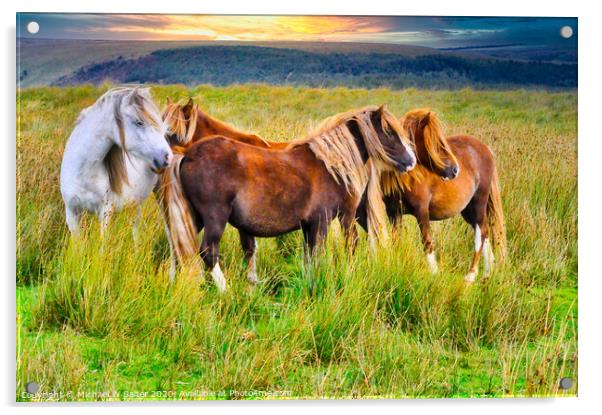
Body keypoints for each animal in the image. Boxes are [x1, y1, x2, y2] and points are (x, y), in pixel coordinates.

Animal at [159, 105, 414, 292]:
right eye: (389, 132)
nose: (411, 161)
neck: (331, 165)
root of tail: (187, 156)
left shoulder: (309, 226)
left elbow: (309, 256)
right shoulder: (324, 221)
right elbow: (322, 253)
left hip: (193, 217)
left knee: (178, 247)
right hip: (214, 218)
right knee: (207, 251)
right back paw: (226, 292)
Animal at [358, 108, 504, 282]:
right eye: (435, 142)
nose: (455, 170)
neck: (408, 177)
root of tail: (485, 149)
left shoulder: (422, 211)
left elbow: (426, 241)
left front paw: (434, 273)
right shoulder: (394, 213)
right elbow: (396, 240)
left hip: (478, 203)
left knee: (480, 232)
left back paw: (471, 275)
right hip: (468, 210)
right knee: (484, 231)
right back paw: (488, 272)